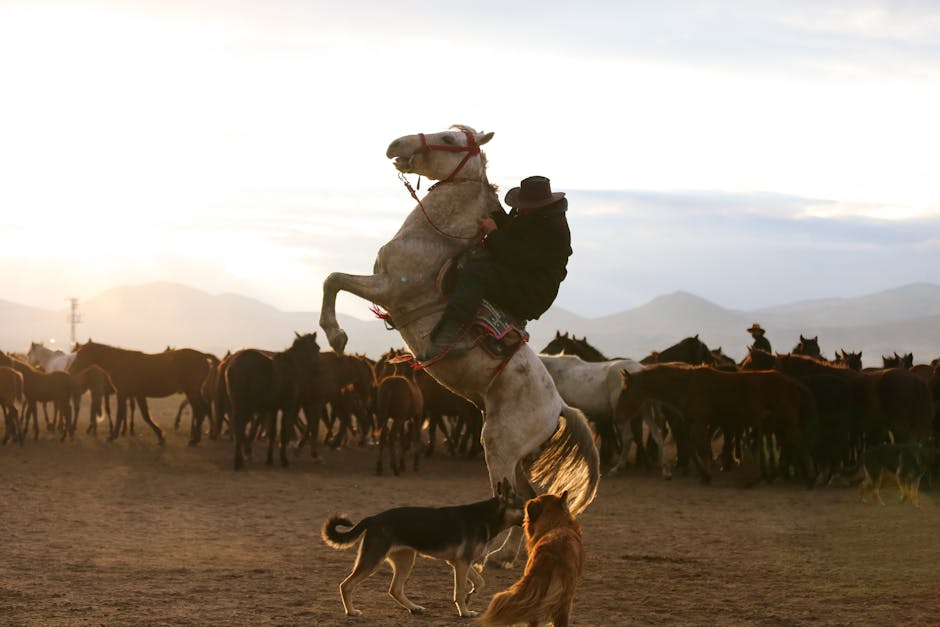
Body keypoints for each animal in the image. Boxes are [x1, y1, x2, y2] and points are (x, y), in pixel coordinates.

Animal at [71, 340, 215, 444]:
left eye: (80, 355)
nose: (71, 369)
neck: (120, 363)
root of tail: (203, 356)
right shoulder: (138, 394)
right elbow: (145, 415)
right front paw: (160, 436)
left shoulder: (122, 394)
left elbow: (121, 414)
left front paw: (112, 436)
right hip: (193, 392)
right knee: (202, 409)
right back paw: (202, 435)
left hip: (192, 391)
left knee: (201, 409)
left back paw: (196, 438)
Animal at [226, 334, 322, 472]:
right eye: (317, 348)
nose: (319, 370)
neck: (292, 367)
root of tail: (233, 365)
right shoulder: (287, 407)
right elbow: (283, 432)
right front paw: (284, 460)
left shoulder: (273, 409)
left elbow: (272, 433)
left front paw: (269, 459)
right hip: (246, 406)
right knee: (239, 427)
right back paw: (240, 460)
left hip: (238, 405)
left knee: (238, 428)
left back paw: (239, 461)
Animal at [320, 125, 600, 568]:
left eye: (451, 140)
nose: (396, 145)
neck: (431, 239)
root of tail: (559, 405)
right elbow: (332, 279)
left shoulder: (388, 289)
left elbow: (332, 279)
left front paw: (335, 335)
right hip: (516, 455)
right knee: (531, 498)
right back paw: (506, 556)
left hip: (498, 446)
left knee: (514, 499)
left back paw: (492, 556)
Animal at [324, 480, 524, 620]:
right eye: (524, 507)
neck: (486, 516)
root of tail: (373, 518)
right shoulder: (461, 563)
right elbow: (459, 591)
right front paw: (464, 612)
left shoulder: (461, 563)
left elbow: (480, 582)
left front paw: (470, 595)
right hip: (372, 561)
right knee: (346, 585)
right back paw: (351, 612)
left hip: (406, 560)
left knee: (395, 589)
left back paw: (414, 608)